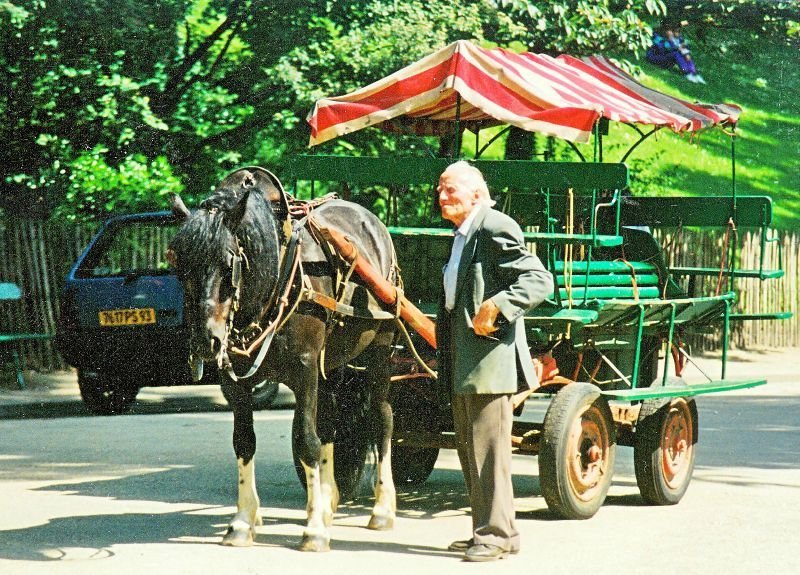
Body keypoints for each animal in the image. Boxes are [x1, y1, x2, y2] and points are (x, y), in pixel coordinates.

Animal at [167, 168, 398, 552]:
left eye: (228, 265)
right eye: (180, 266)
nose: (204, 341)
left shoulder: (305, 369)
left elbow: (307, 441)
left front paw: (314, 530)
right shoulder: (236, 383)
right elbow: (244, 442)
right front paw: (243, 521)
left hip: (380, 351)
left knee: (382, 420)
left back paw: (381, 508)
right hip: (329, 365)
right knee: (330, 420)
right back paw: (328, 500)